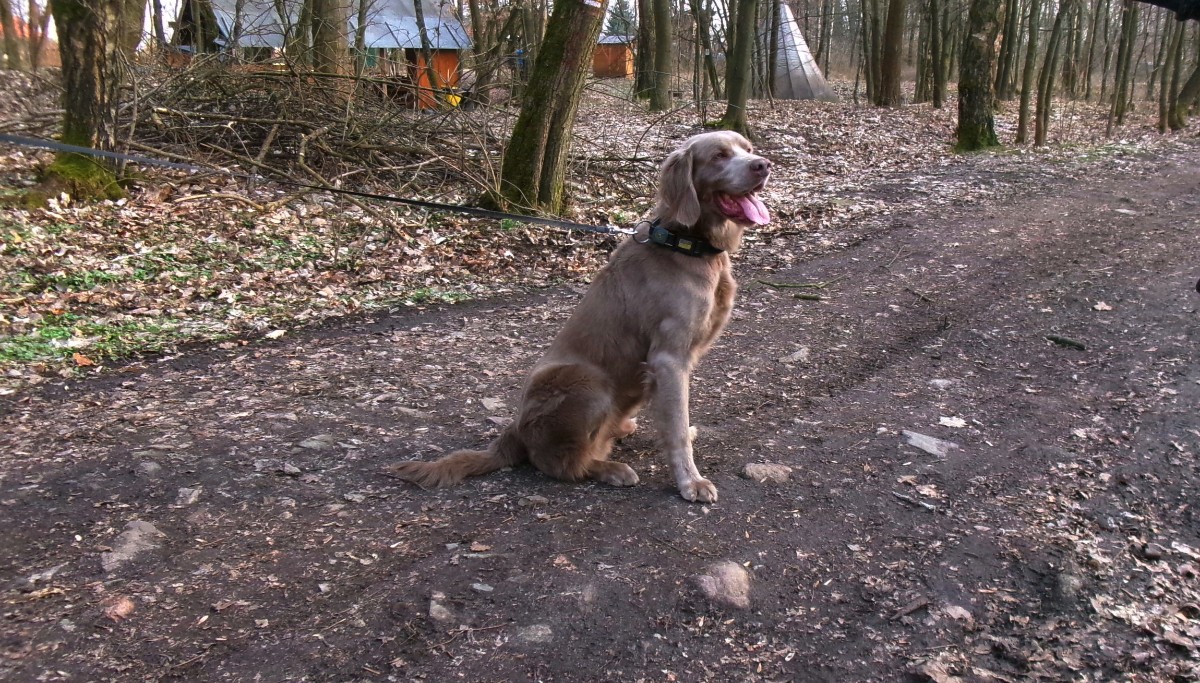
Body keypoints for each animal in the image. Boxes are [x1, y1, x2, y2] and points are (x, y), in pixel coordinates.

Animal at [386, 131, 771, 502]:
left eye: (748, 148)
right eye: (719, 155)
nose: (764, 165)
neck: (686, 243)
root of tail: (513, 430)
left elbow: (673, 420)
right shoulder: (668, 357)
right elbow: (675, 427)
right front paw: (690, 482)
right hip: (588, 382)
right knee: (556, 462)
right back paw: (610, 469)